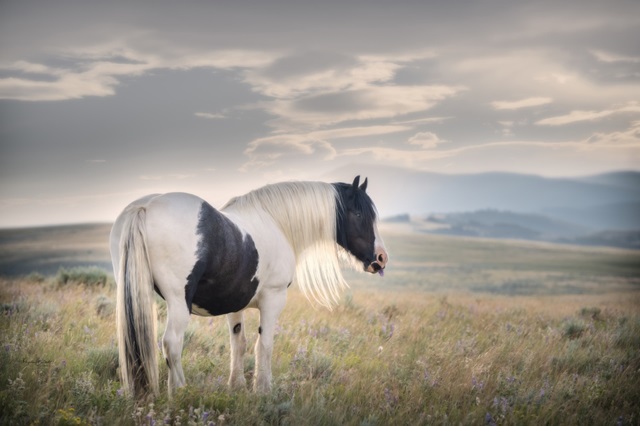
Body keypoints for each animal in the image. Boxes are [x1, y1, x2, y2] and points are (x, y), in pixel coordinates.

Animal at [110, 176, 388, 396]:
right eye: (359, 214)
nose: (381, 258)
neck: (277, 223)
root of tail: (145, 207)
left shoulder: (234, 303)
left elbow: (239, 343)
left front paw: (237, 386)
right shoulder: (273, 299)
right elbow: (264, 345)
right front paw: (263, 390)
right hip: (179, 301)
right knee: (172, 344)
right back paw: (178, 392)